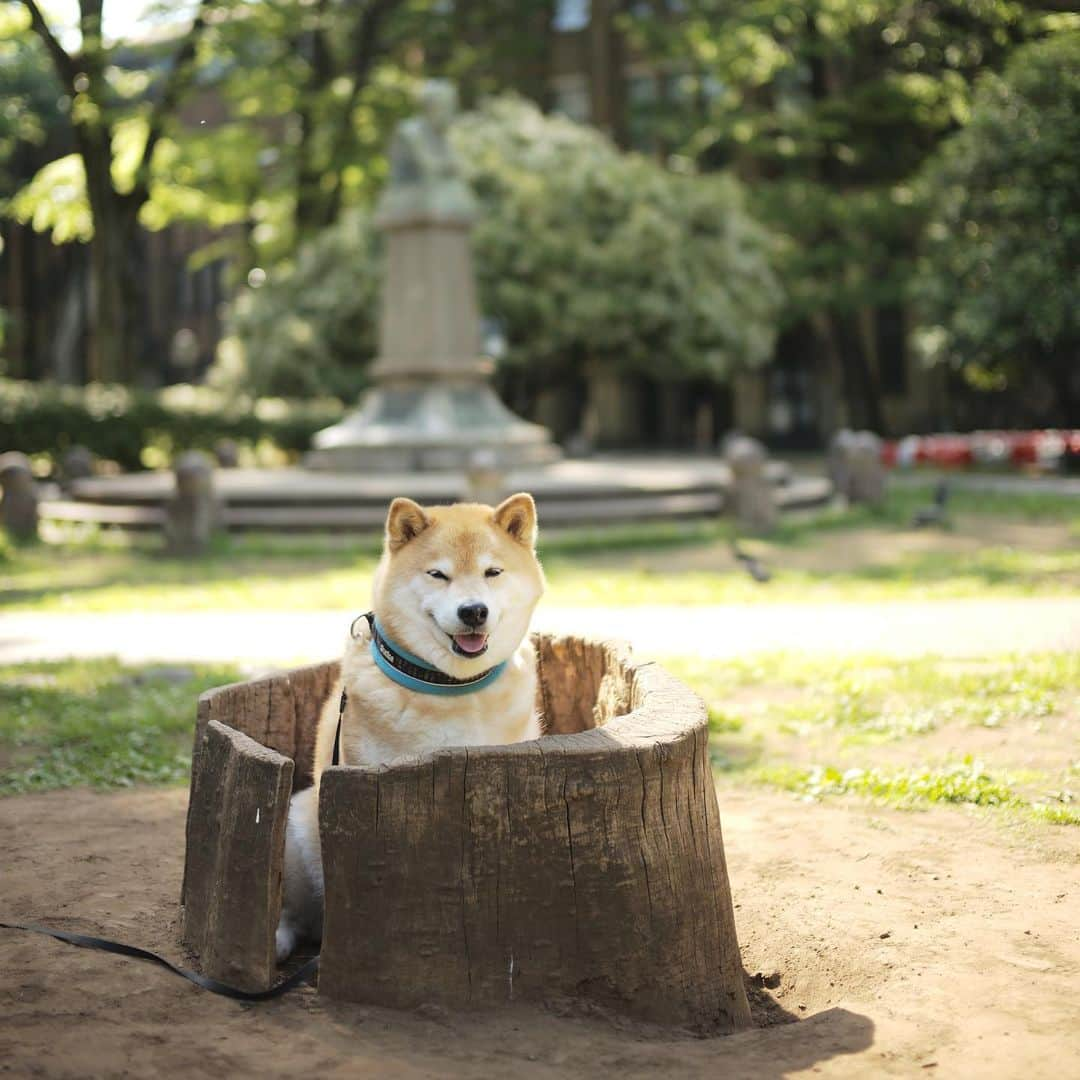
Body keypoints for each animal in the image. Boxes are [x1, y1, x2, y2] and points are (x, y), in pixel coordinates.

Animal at [274, 494, 544, 959]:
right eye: (438, 574)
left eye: (492, 572)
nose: (473, 610)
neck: (450, 687)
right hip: (298, 825)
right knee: (299, 914)